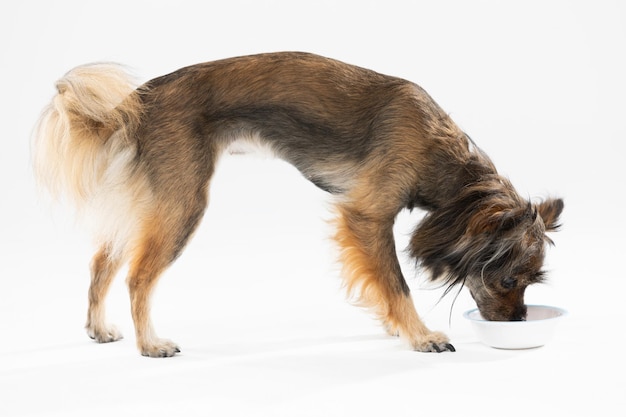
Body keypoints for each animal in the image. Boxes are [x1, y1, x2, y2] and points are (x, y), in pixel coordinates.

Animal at [33, 51, 560, 358]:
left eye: (530, 282)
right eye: (509, 280)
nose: (519, 322)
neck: (446, 159)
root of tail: (138, 101)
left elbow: (383, 285)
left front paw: (397, 329)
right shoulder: (368, 217)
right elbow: (397, 283)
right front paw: (420, 335)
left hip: (152, 203)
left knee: (101, 262)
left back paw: (99, 329)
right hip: (182, 203)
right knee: (138, 276)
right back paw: (150, 344)